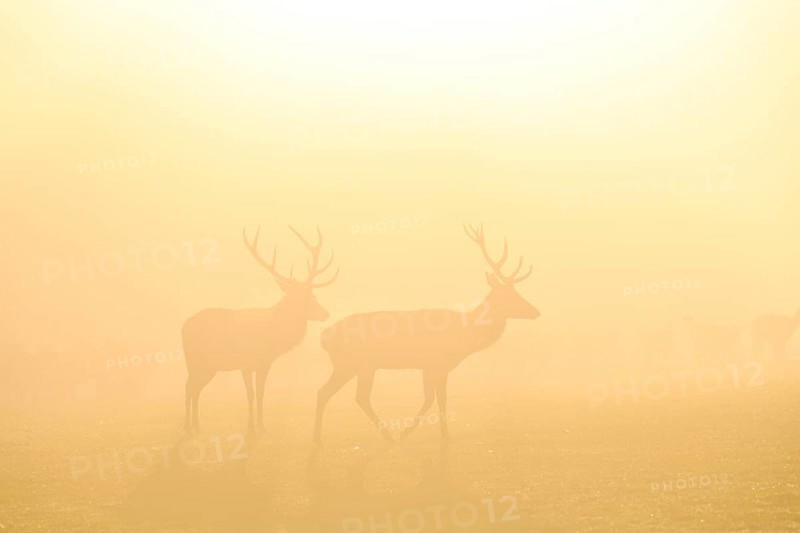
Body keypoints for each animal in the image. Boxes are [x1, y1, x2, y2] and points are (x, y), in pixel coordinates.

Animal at [182, 226, 338, 433]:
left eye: (313, 296)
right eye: (308, 298)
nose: (325, 313)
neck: (273, 334)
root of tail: (183, 327)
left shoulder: (253, 365)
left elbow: (254, 393)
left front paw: (253, 426)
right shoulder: (256, 363)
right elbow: (257, 393)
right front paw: (259, 427)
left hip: (202, 364)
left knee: (193, 387)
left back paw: (196, 426)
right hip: (200, 361)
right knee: (190, 387)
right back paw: (189, 426)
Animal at [313, 224, 539, 444]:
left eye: (517, 292)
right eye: (510, 295)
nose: (536, 311)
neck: (465, 334)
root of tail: (325, 337)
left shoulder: (435, 367)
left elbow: (437, 398)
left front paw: (438, 433)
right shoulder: (434, 363)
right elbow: (434, 398)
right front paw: (419, 433)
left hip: (363, 367)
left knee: (356, 396)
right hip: (349, 364)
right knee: (329, 392)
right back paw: (324, 437)